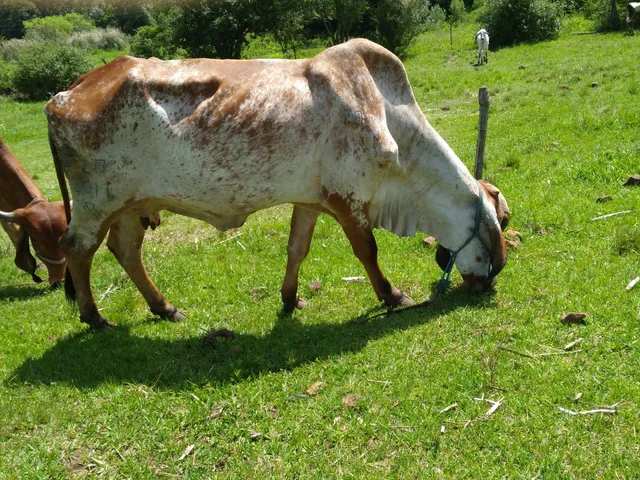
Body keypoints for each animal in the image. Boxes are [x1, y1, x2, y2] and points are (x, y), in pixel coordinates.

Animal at [45, 38, 510, 330]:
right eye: (502, 221)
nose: (488, 283)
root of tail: (68, 91)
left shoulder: (312, 200)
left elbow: (296, 248)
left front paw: (290, 298)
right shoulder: (350, 200)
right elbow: (368, 252)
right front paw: (392, 295)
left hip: (130, 204)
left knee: (124, 250)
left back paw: (165, 308)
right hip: (96, 203)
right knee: (77, 250)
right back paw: (95, 317)